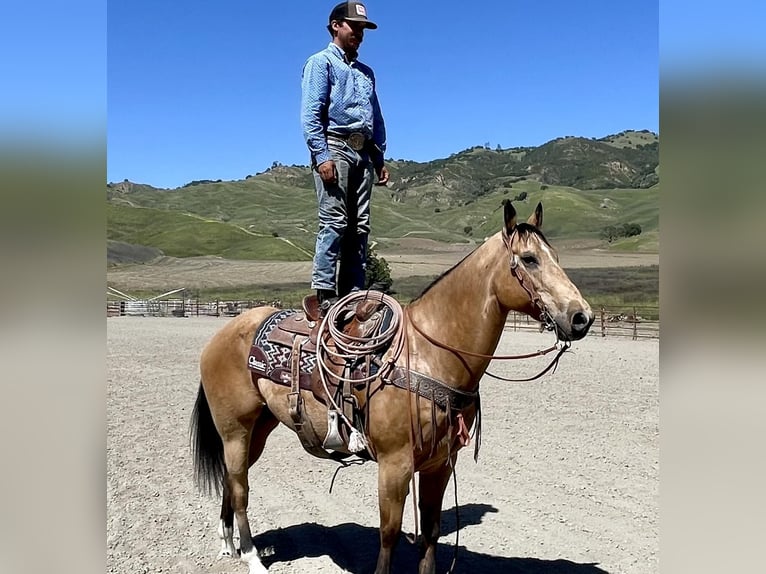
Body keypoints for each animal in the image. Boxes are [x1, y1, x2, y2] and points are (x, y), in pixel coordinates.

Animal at [190, 200, 592, 572]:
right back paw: (251, 555)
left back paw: (229, 543)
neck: (430, 353)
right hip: (235, 429)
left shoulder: (439, 465)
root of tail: (224, 332)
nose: (581, 317)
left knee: (232, 480)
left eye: (556, 257)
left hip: (260, 427)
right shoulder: (394, 464)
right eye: (529, 259)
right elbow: (389, 534)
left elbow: (429, 533)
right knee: (240, 487)